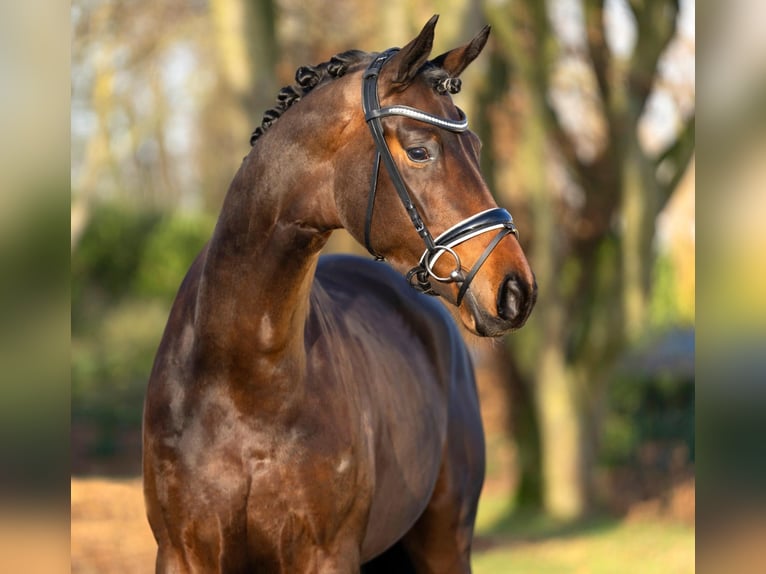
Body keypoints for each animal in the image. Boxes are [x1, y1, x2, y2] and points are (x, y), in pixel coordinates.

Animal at [146, 16, 540, 574]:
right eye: (419, 150)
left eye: (479, 149)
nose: (515, 291)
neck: (239, 381)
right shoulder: (182, 554)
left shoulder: (328, 555)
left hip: (446, 540)